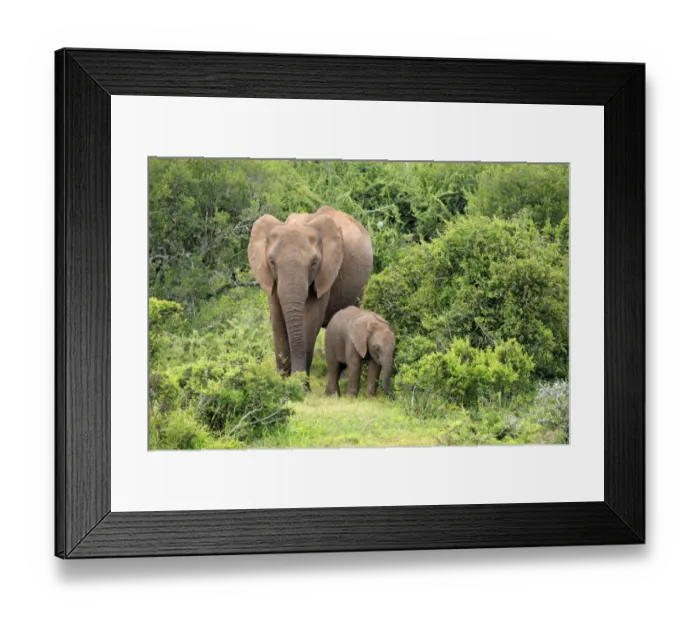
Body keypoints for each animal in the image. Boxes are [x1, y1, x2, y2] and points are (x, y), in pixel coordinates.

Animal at [248, 206, 373, 379]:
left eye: (314, 263)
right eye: (272, 262)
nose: (294, 376)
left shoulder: (326, 273)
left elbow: (311, 320)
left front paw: (299, 383)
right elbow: (277, 320)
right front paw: (282, 381)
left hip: (360, 289)